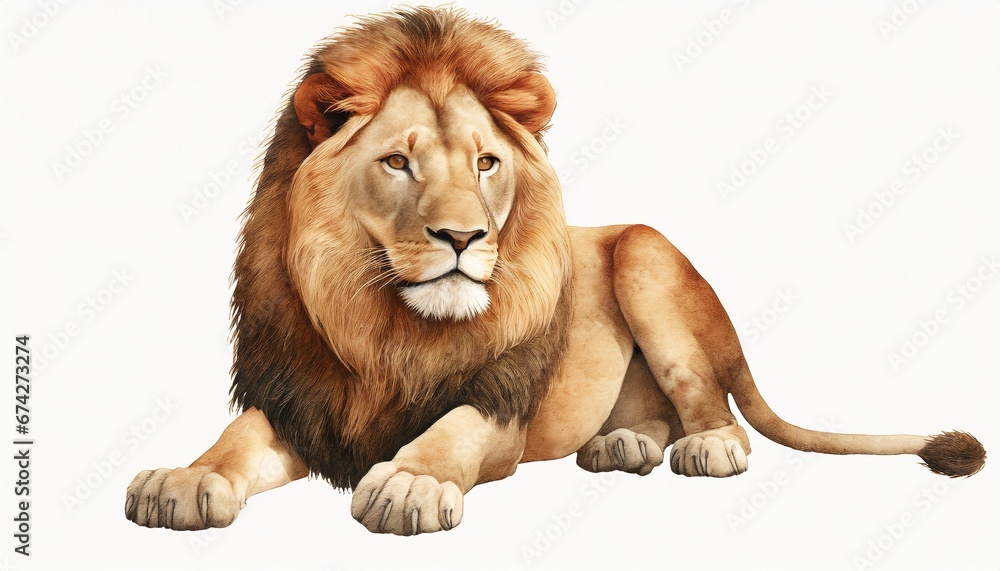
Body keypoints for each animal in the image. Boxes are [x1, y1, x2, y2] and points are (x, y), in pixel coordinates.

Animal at [125, 7, 985, 535]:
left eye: (486, 163)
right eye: (398, 161)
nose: (463, 235)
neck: (388, 328)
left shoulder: (499, 405)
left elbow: (453, 432)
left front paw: (409, 483)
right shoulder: (305, 401)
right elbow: (235, 439)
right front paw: (180, 481)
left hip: (645, 256)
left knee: (720, 413)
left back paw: (704, 449)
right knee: (655, 415)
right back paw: (623, 444)